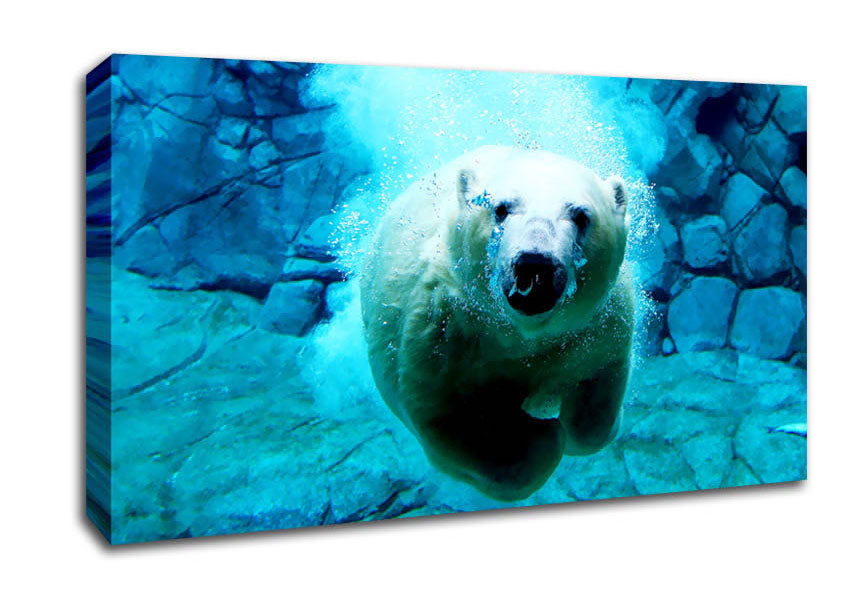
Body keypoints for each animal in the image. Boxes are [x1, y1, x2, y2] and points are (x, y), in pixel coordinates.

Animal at [360, 145, 635, 501]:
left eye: (581, 216)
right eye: (501, 209)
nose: (535, 263)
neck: (518, 333)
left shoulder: (596, 325)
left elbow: (598, 386)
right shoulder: (441, 333)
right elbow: (447, 418)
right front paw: (537, 433)